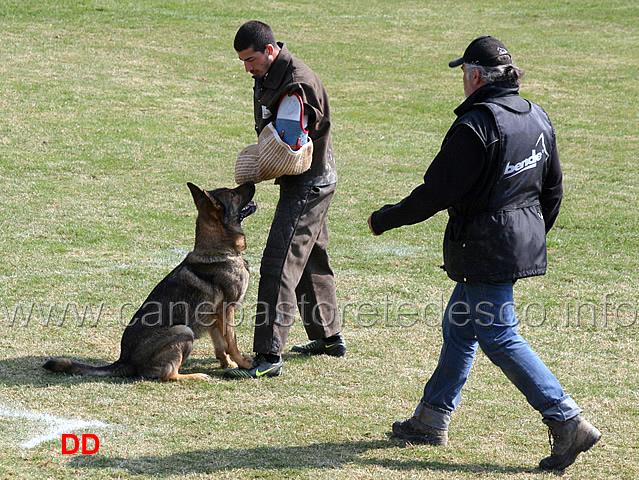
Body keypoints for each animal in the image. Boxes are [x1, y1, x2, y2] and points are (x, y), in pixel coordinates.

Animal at [42, 182, 258, 380]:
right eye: (232, 193)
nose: (252, 182)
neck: (220, 251)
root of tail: (124, 361)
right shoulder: (227, 309)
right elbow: (232, 341)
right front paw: (243, 362)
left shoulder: (214, 317)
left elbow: (221, 344)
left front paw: (228, 363)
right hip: (183, 331)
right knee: (168, 375)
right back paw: (194, 376)